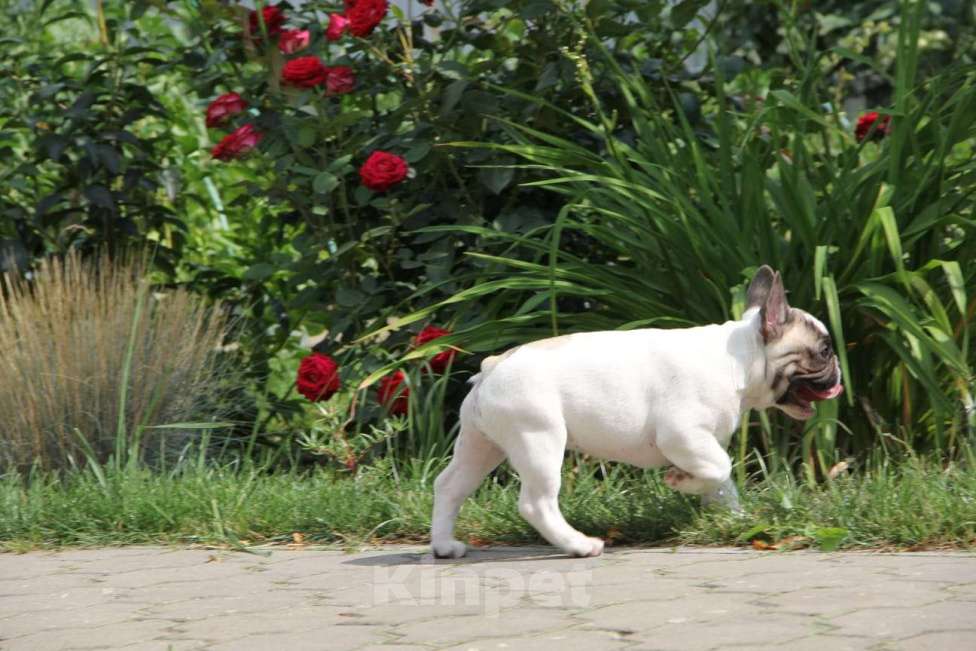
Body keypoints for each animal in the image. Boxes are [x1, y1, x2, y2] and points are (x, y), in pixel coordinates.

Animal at [430, 266, 844, 560]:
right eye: (824, 350)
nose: (839, 369)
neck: (738, 359)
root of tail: (493, 366)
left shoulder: (704, 442)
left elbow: (722, 480)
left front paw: (732, 517)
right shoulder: (683, 436)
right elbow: (720, 467)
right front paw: (682, 481)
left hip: (481, 443)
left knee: (449, 486)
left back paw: (444, 546)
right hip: (538, 439)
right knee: (536, 503)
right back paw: (580, 545)